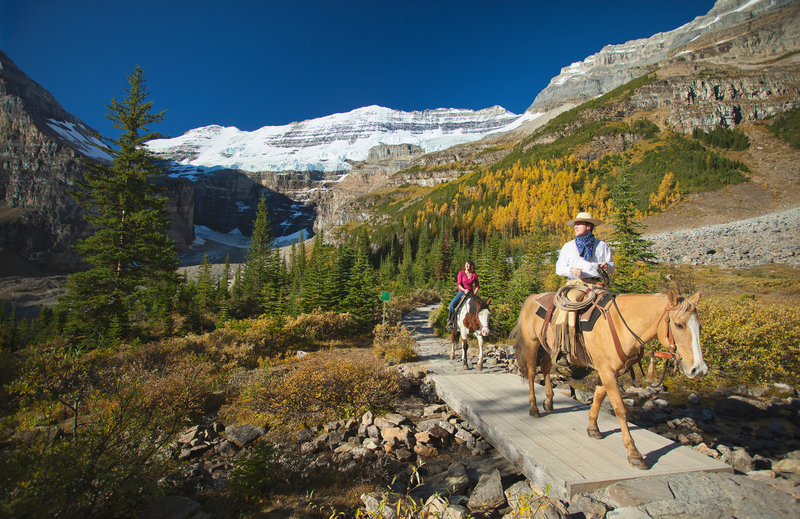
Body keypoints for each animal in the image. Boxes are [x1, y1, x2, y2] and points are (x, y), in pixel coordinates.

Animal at [512, 290, 708, 470]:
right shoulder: (607, 372)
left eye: (699, 326)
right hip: (532, 343)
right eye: (678, 325)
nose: (699, 369)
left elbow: (599, 396)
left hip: (549, 347)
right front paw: (634, 453)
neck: (621, 326)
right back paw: (534, 408)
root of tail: (533, 297)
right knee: (531, 373)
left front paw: (593, 428)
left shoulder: (608, 371)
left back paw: (549, 403)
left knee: (545, 366)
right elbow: (620, 409)